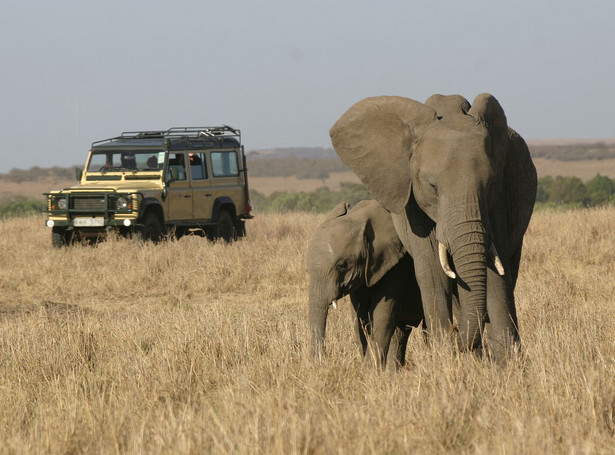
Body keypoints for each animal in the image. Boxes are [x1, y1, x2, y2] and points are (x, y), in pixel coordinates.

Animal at [306, 201, 424, 368]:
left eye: (342, 265)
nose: (324, 360)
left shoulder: (397, 266)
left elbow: (381, 317)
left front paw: (369, 369)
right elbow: (359, 319)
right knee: (400, 332)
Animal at [330, 95, 536, 360]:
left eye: (490, 183)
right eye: (432, 186)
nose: (456, 335)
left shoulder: (499, 198)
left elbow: (496, 273)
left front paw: (506, 361)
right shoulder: (411, 203)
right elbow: (432, 270)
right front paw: (444, 354)